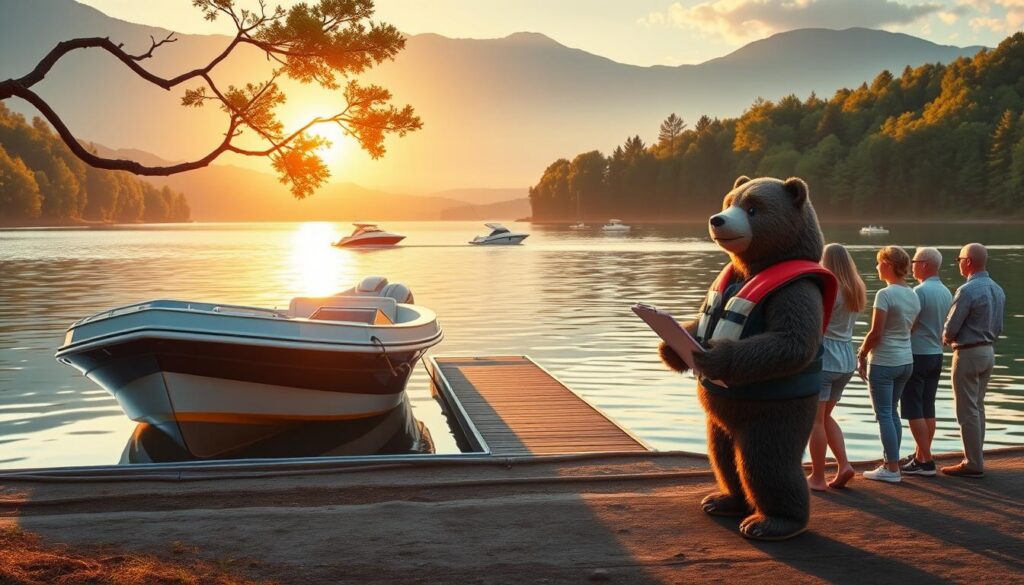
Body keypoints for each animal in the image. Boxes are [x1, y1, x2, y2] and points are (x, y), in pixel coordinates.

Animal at [660, 175, 834, 541]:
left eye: (753, 208)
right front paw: (669, 348)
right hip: (718, 423)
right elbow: (696, 324)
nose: (717, 219)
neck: (751, 269)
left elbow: (789, 341)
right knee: (722, 457)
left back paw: (773, 521)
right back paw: (723, 499)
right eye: (729, 201)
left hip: (770, 415)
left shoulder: (795, 293)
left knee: (766, 463)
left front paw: (711, 354)